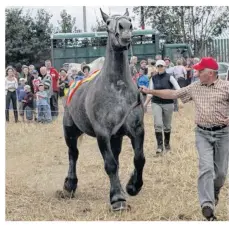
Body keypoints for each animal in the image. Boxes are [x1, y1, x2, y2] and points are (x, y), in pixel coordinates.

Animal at [59, 8, 145, 211]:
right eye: (107, 23)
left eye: (129, 19)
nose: (125, 28)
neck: (117, 89)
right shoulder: (102, 133)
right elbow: (110, 164)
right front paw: (118, 199)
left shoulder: (136, 130)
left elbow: (139, 159)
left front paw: (132, 186)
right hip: (70, 131)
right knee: (73, 154)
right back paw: (69, 185)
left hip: (116, 137)